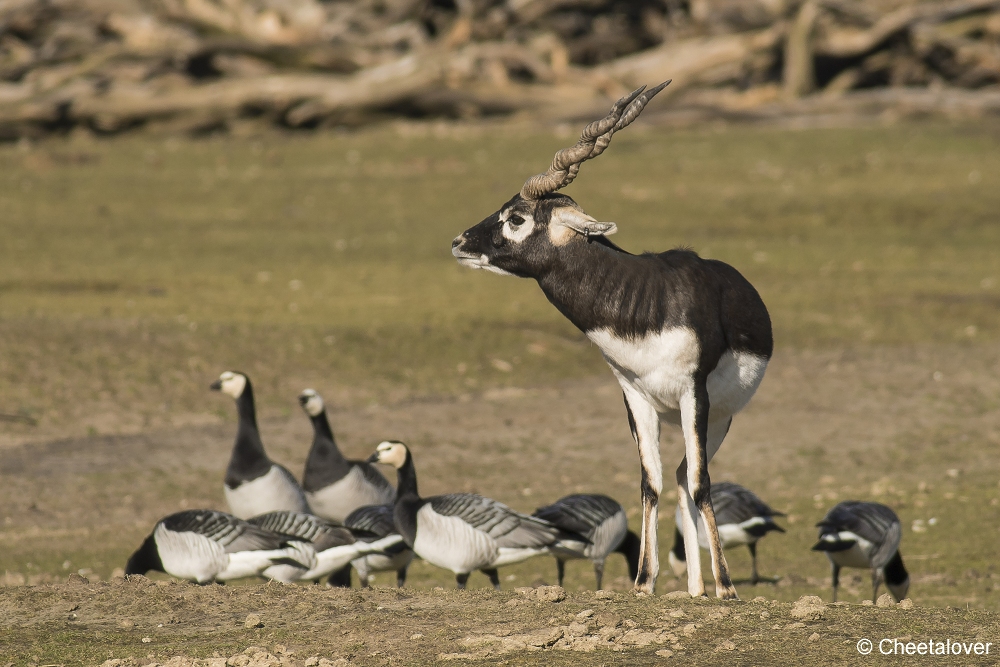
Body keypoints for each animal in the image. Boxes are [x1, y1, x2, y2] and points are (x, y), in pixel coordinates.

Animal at [454, 83, 772, 600]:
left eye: (515, 217)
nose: (460, 242)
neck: (646, 305)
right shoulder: (633, 395)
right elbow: (649, 482)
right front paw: (643, 583)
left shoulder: (695, 393)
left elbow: (703, 483)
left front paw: (727, 588)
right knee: (676, 475)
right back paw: (694, 589)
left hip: (720, 417)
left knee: (691, 475)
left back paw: (708, 587)